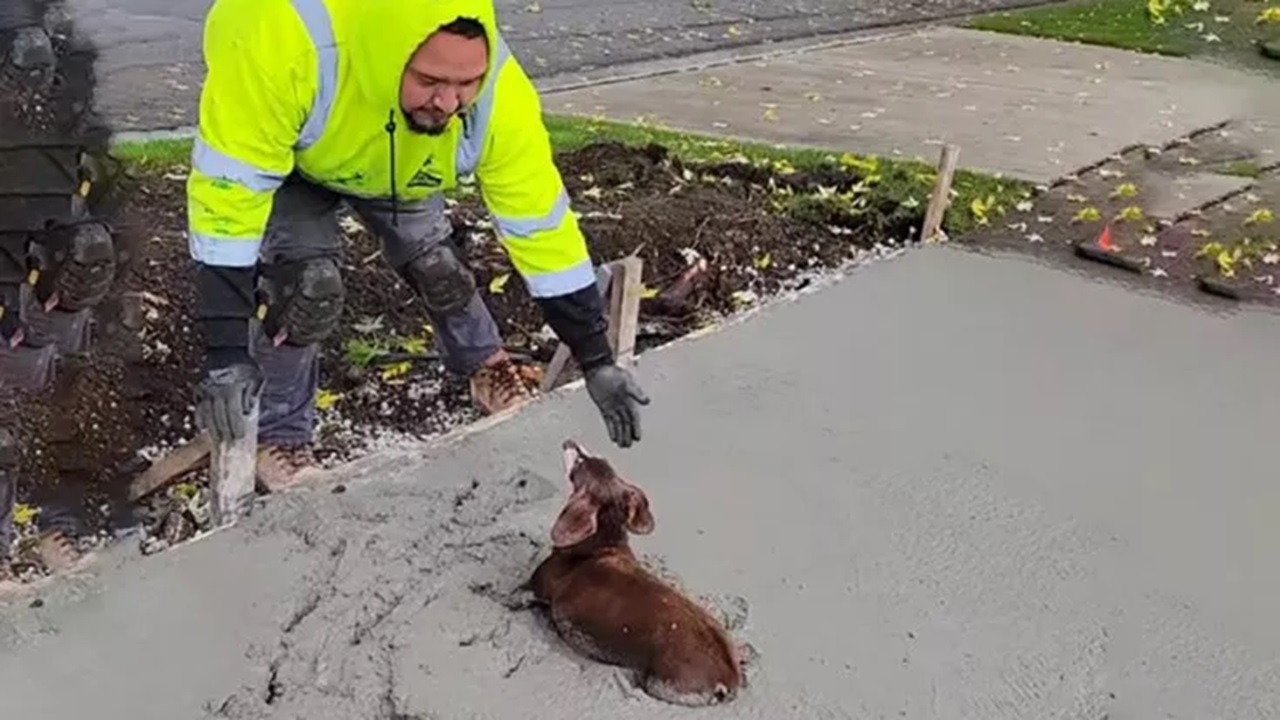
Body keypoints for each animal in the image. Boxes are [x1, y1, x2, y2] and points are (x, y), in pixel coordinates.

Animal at [527, 438, 747, 702]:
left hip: (660, 684)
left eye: (580, 462)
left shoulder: (533, 589)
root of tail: (728, 678)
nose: (570, 441)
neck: (599, 544)